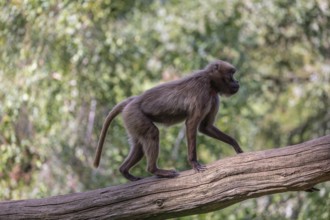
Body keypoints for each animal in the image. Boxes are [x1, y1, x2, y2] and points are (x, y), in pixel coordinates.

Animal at [94, 59, 244, 181]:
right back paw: (154, 170)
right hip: (135, 114)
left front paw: (235, 145)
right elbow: (191, 124)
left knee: (139, 146)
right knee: (152, 133)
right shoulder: (202, 94)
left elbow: (205, 127)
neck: (210, 81)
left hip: (132, 120)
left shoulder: (214, 97)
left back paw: (125, 171)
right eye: (231, 74)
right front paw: (194, 163)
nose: (237, 82)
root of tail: (132, 100)